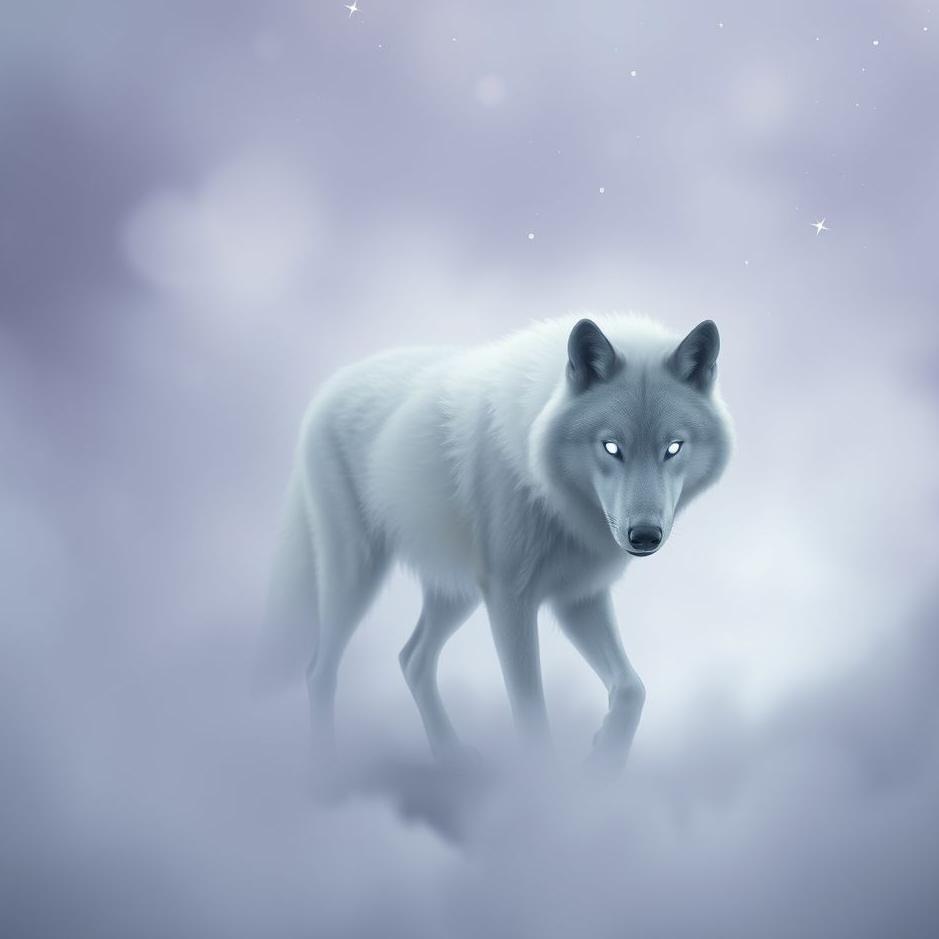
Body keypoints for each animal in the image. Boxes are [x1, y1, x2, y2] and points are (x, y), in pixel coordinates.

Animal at [269, 315, 733, 770]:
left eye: (673, 447)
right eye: (611, 447)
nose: (645, 536)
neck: (551, 493)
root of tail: (331, 385)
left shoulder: (578, 597)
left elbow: (633, 689)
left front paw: (605, 757)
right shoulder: (512, 600)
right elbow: (530, 711)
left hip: (458, 592)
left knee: (412, 659)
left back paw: (450, 755)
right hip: (357, 576)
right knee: (319, 670)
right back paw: (325, 764)